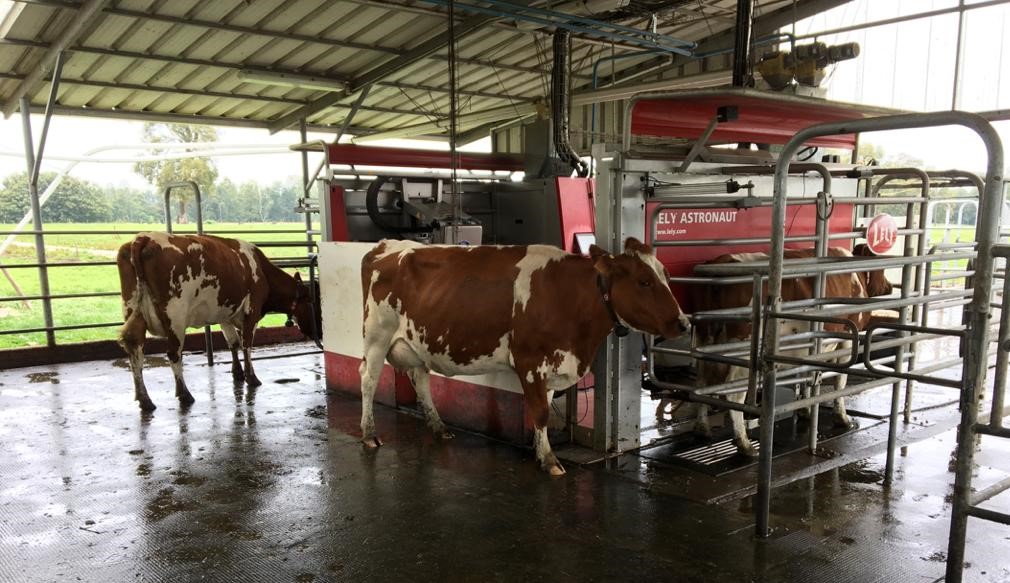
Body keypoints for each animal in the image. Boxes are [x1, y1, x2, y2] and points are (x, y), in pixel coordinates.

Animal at [116, 232, 320, 411]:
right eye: (312, 300)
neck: (262, 271)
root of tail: (143, 238)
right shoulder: (251, 310)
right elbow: (246, 344)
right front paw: (251, 377)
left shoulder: (225, 313)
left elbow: (233, 342)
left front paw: (237, 373)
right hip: (175, 316)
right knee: (173, 353)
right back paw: (184, 394)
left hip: (133, 310)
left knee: (135, 352)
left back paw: (145, 399)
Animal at [358, 237, 691, 476]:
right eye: (644, 281)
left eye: (667, 275)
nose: (684, 323)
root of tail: (387, 245)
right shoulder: (530, 361)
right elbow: (540, 411)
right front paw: (549, 459)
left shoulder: (556, 364)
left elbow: (543, 406)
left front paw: (539, 449)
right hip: (376, 336)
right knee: (369, 380)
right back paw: (369, 433)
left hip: (419, 341)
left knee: (421, 379)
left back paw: (439, 427)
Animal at [659, 244, 893, 457]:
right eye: (881, 268)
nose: (890, 286)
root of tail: (718, 262)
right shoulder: (849, 338)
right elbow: (839, 381)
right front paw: (842, 418)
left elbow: (808, 374)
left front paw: (806, 410)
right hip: (743, 347)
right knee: (733, 393)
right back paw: (744, 444)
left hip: (704, 338)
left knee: (701, 380)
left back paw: (702, 428)